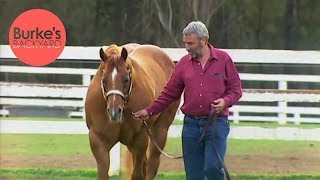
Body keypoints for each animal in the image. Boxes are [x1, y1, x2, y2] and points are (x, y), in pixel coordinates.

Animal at [85, 44, 180, 180]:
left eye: (126, 79)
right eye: (103, 80)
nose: (114, 112)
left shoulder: (140, 139)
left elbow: (137, 175)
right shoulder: (98, 141)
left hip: (159, 131)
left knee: (152, 165)